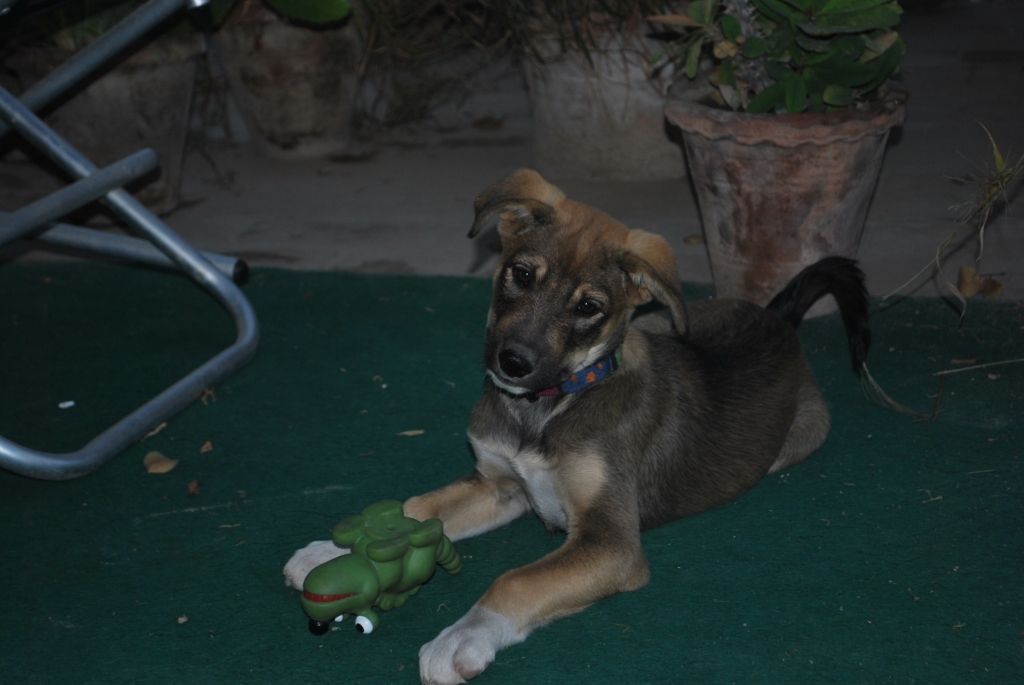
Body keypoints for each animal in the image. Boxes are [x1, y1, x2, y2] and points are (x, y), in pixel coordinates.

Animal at [282, 166, 872, 683]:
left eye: (589, 306)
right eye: (522, 274)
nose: (513, 362)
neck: (545, 407)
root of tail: (778, 318)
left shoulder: (609, 539)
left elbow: (517, 580)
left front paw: (462, 637)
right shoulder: (499, 486)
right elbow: (418, 508)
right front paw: (332, 549)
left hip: (798, 436)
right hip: (671, 321)